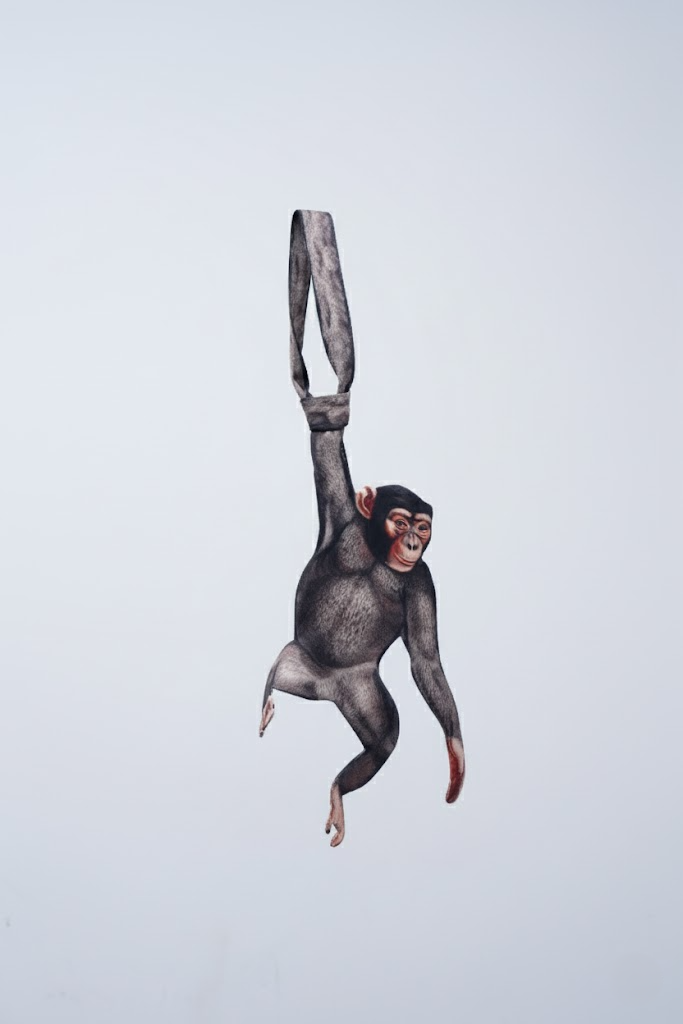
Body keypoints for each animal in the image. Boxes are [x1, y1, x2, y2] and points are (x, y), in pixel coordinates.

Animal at [259, 210, 464, 847]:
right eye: (400, 521)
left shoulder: (423, 581)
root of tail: (320, 688)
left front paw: (456, 754)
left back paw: (338, 786)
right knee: (282, 679)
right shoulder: (340, 511)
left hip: (360, 691)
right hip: (303, 664)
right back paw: (269, 696)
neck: (375, 554)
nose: (413, 541)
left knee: (384, 737)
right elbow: (325, 439)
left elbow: (427, 660)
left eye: (424, 527)